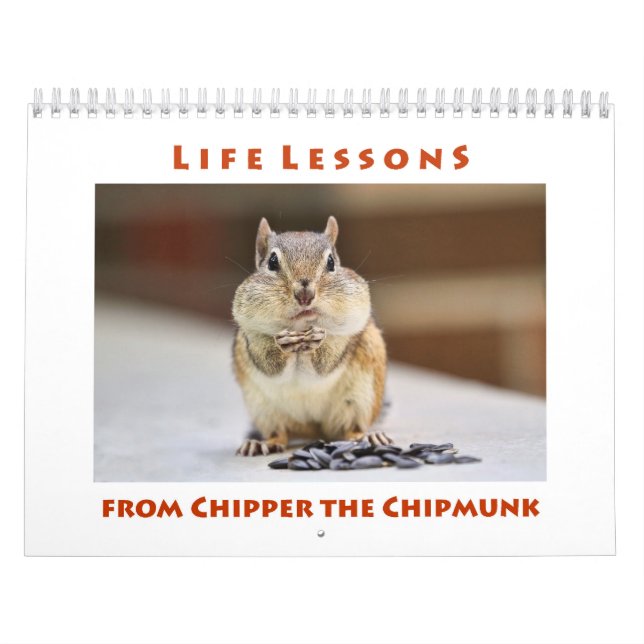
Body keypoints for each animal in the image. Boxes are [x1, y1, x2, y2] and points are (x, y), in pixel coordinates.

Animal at [232, 216, 389, 456]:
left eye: (331, 262)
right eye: (272, 262)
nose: (305, 294)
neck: (301, 328)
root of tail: (312, 429)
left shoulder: (348, 334)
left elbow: (326, 363)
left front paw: (316, 342)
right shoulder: (251, 337)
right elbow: (269, 364)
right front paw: (283, 344)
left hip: (361, 398)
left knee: (351, 428)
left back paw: (367, 436)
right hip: (264, 409)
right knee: (280, 433)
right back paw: (261, 443)